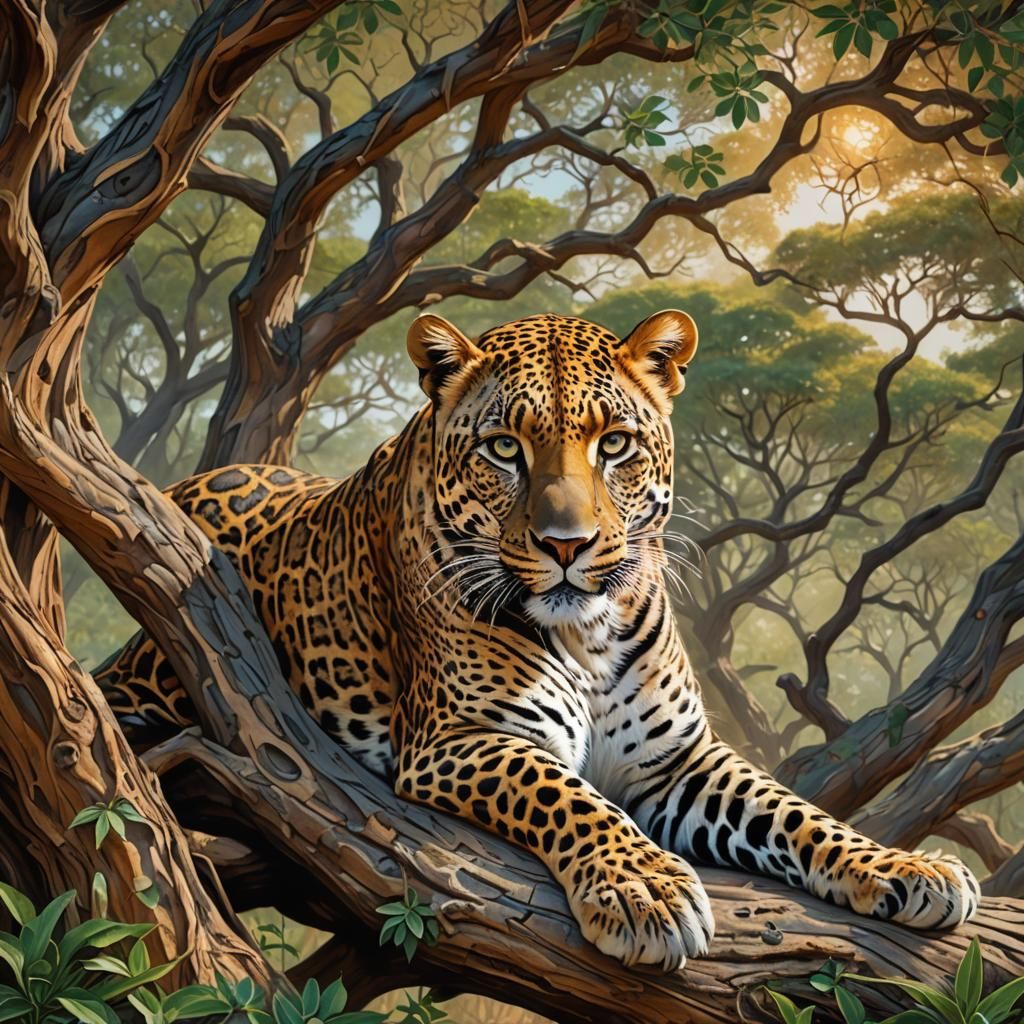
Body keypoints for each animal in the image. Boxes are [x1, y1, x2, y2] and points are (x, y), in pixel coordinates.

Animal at [98, 310, 979, 970]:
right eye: (503, 449)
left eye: (614, 444)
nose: (567, 544)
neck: (588, 633)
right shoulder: (462, 739)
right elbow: (571, 797)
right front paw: (644, 889)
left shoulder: (677, 760)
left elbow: (793, 811)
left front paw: (906, 866)